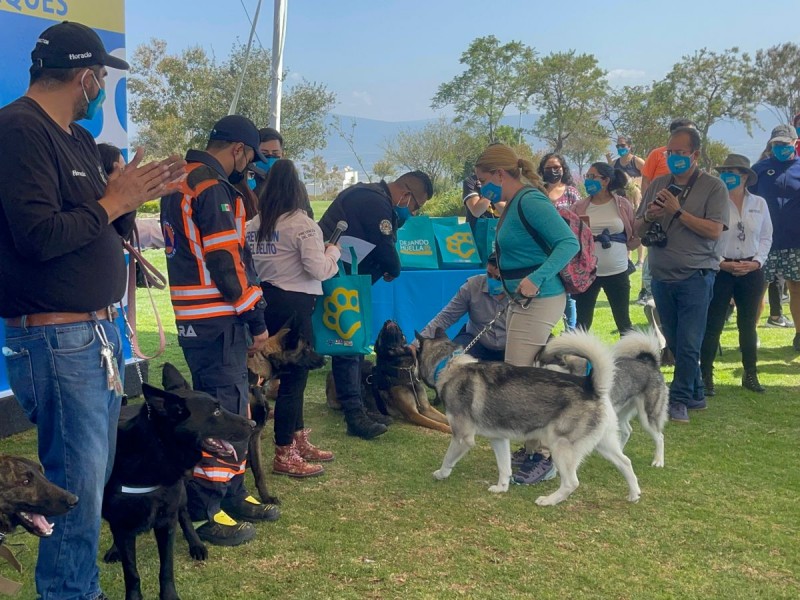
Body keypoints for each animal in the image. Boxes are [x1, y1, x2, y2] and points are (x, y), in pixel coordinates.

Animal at [101, 360, 253, 600]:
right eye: (216, 411)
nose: (253, 422)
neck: (155, 451)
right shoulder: (122, 524)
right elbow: (131, 571)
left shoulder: (166, 522)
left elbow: (166, 567)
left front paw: (170, 595)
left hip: (179, 496)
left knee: (184, 514)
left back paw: (196, 544)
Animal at [416, 328, 640, 506]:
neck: (448, 364)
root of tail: (590, 386)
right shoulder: (499, 439)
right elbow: (504, 468)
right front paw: (502, 488)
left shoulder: (462, 438)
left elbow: (448, 459)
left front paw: (441, 474)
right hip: (604, 444)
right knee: (625, 462)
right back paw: (634, 494)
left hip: (560, 446)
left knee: (571, 483)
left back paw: (549, 500)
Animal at [536, 328, 668, 468]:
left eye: (543, 365)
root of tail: (650, 363)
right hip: (619, 413)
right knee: (627, 431)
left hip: (647, 417)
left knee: (660, 437)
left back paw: (658, 461)